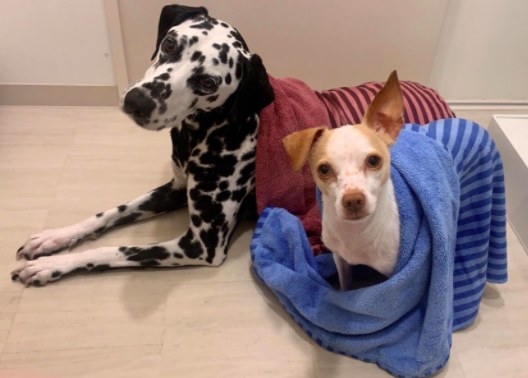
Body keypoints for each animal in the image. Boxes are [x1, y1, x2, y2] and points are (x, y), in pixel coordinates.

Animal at [10, 3, 274, 286]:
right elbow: (109, 212)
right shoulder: (175, 189)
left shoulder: (201, 246)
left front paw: (53, 264)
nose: (137, 101)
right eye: (169, 43)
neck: (199, 135)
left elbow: (113, 250)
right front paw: (55, 237)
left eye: (208, 83)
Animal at [284, 71, 404, 290]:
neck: (355, 233)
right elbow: (345, 284)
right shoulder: (340, 259)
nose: (353, 199)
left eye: (373, 161)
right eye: (324, 169)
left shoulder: (393, 273)